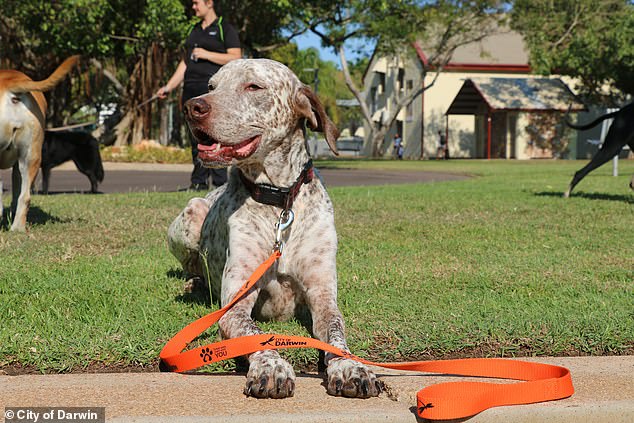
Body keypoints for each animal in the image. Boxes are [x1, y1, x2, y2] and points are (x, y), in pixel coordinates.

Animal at [167, 58, 380, 400]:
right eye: (212, 86)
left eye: (254, 86)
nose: (191, 107)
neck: (279, 201)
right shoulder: (235, 304)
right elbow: (256, 334)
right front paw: (271, 367)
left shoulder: (323, 295)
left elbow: (336, 333)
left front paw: (351, 367)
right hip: (191, 213)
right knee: (192, 265)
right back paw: (194, 283)